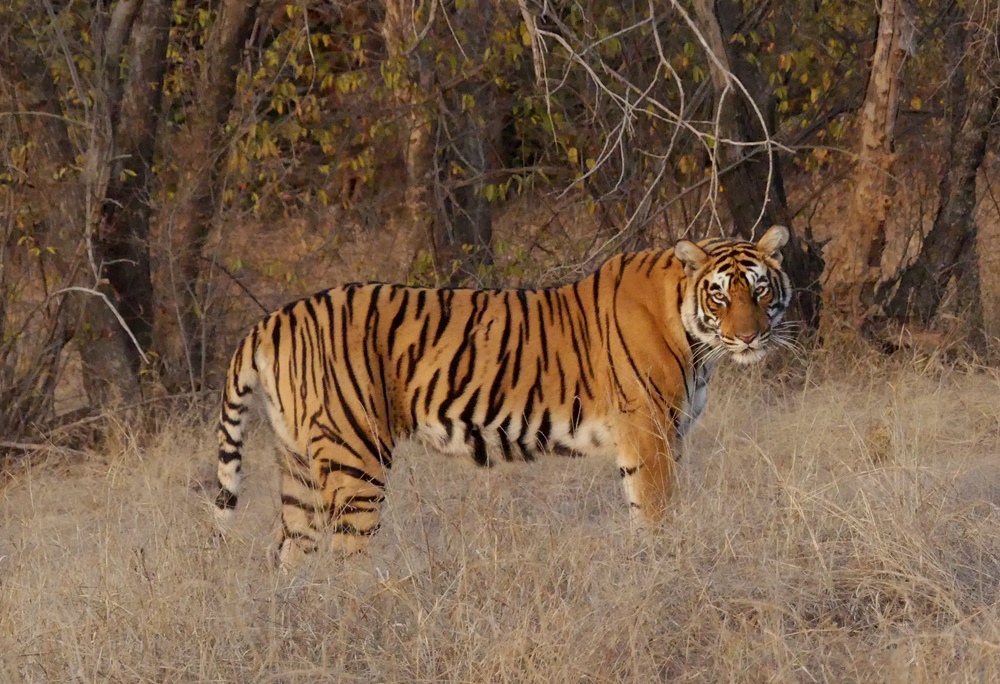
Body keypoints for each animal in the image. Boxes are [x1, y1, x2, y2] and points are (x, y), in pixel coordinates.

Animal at [213, 224, 792, 569]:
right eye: (720, 295)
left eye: (760, 289)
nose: (749, 337)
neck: (695, 335)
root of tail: (271, 319)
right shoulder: (650, 433)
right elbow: (656, 512)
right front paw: (667, 569)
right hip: (355, 458)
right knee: (344, 557)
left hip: (298, 464)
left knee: (290, 556)